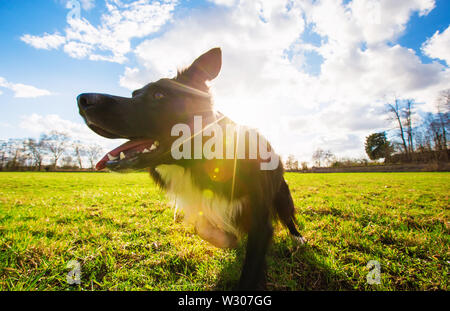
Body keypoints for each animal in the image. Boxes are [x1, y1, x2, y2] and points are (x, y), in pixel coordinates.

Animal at [77, 47, 306, 292]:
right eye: (134, 94)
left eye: (159, 96)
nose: (82, 100)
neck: (197, 162)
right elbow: (202, 227)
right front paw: (229, 239)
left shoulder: (260, 222)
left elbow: (250, 270)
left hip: (281, 193)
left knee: (287, 215)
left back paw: (298, 237)